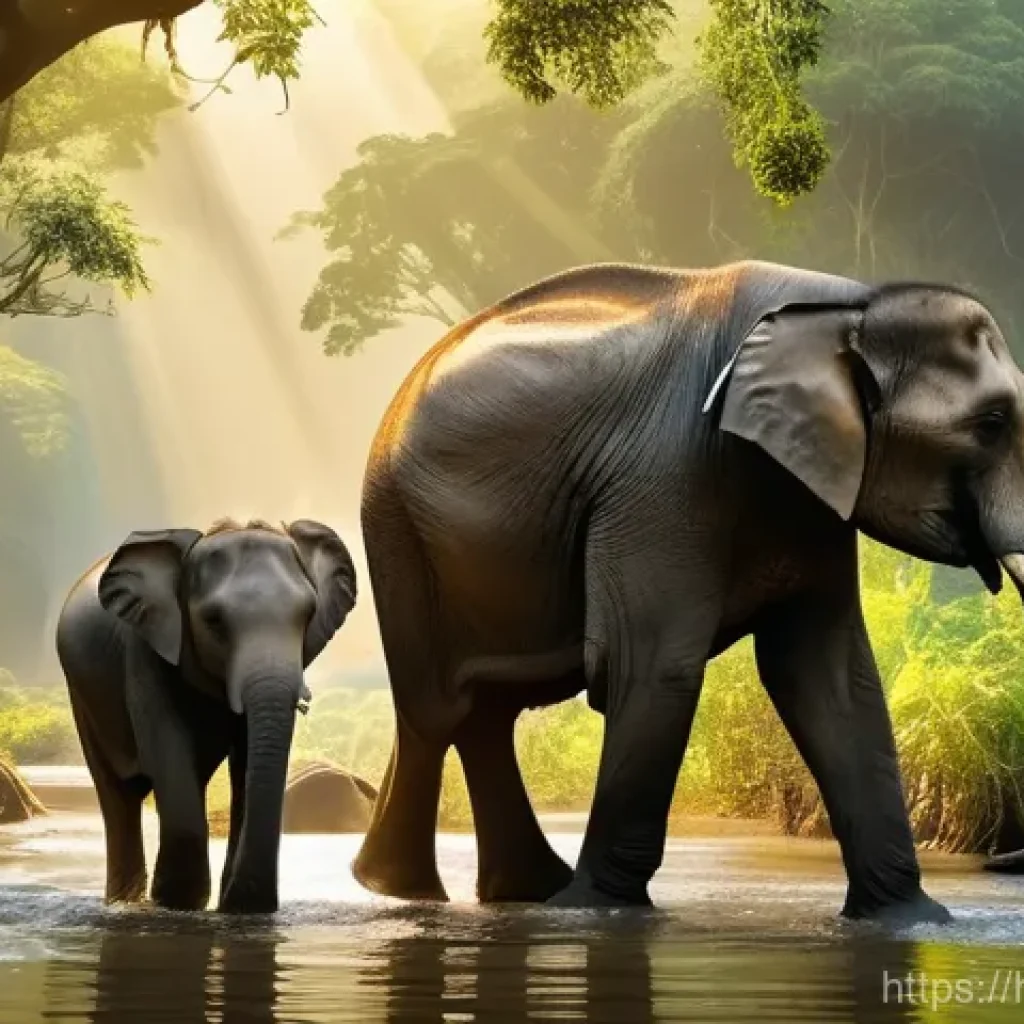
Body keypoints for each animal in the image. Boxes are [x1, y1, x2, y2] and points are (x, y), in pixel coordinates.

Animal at [56, 518, 356, 913]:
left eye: (307, 615)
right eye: (214, 622)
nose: (243, 900)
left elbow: (245, 762)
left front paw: (234, 907)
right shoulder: (145, 650)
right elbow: (167, 751)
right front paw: (176, 902)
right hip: (82, 696)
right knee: (119, 798)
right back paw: (125, 903)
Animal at [351, 259, 1024, 922]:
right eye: (992, 423)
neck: (847, 304)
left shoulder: (812, 491)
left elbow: (829, 675)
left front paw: (909, 919)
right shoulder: (669, 471)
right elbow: (654, 666)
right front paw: (599, 912)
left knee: (486, 712)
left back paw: (519, 892)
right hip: (398, 533)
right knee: (438, 710)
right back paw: (406, 890)